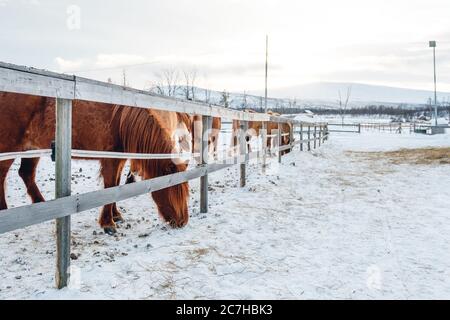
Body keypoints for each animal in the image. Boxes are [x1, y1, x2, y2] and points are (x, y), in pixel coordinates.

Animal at [0, 91, 189, 234]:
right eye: (175, 188)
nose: (183, 222)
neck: (120, 122)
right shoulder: (110, 161)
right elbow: (110, 186)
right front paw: (108, 223)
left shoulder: (119, 161)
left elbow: (116, 186)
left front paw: (115, 215)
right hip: (9, 148)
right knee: (3, 174)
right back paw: (4, 209)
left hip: (32, 149)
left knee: (26, 174)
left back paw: (40, 203)